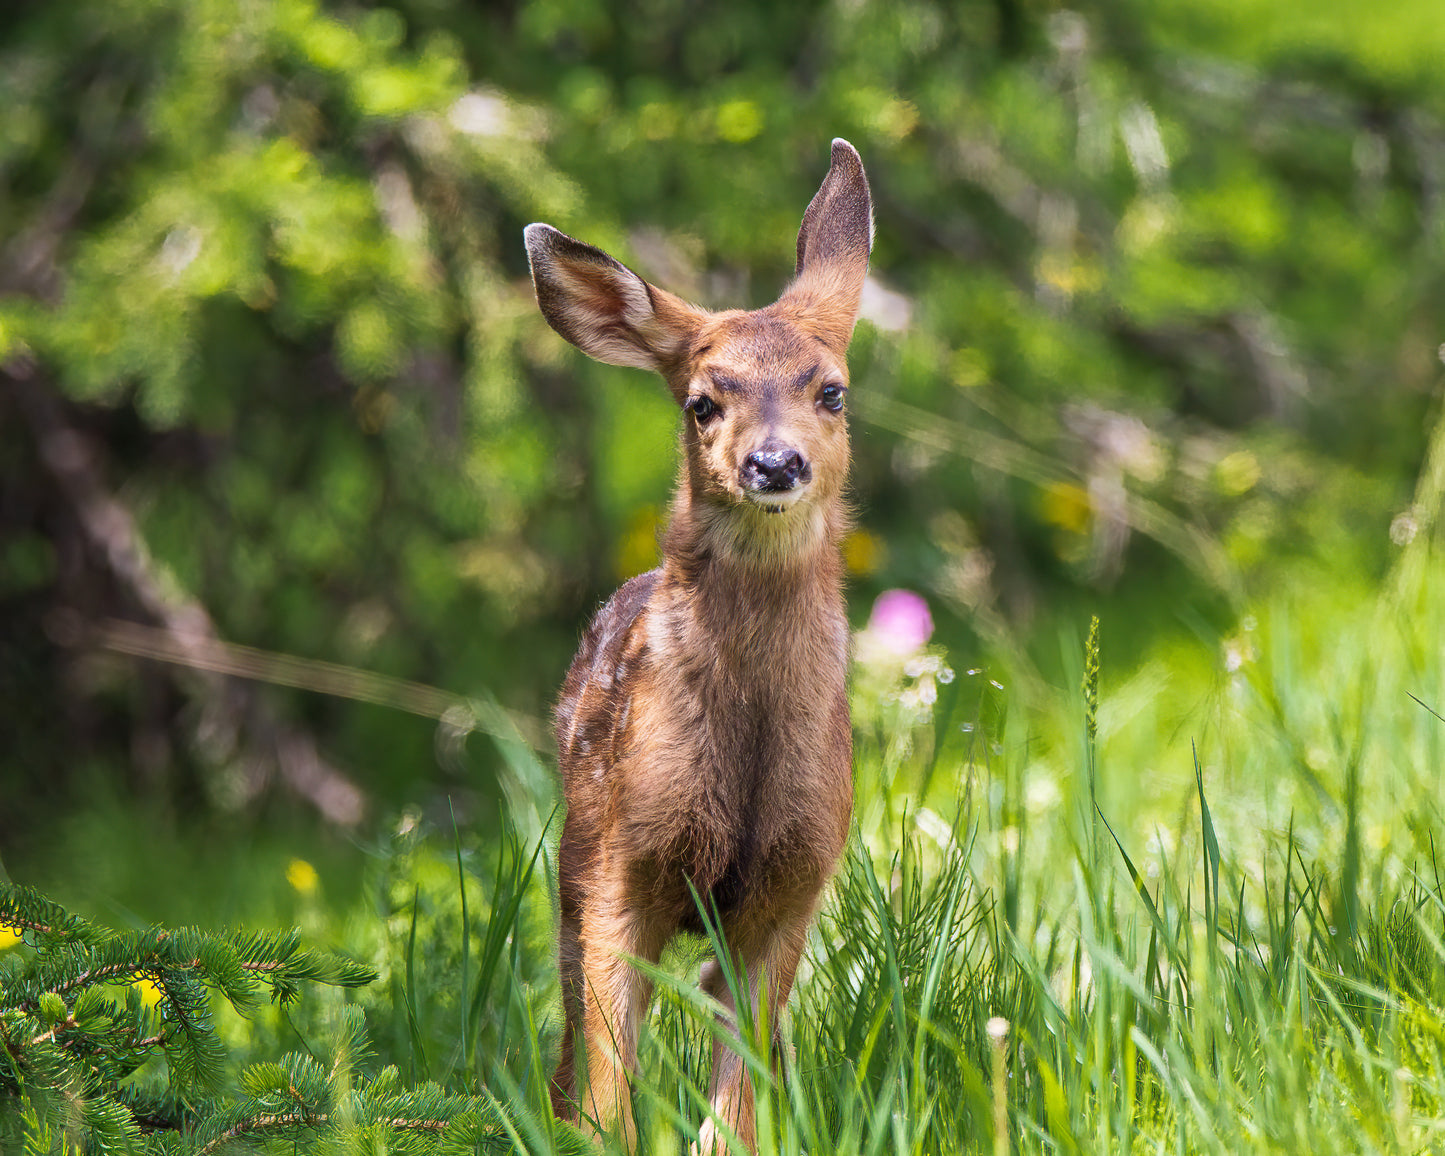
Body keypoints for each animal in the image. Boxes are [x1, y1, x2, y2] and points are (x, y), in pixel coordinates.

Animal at [523, 138, 871, 1153]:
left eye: (830, 390)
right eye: (701, 402)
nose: (774, 463)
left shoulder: (792, 879)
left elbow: (737, 1107)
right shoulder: (623, 863)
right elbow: (606, 1092)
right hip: (575, 849)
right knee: (571, 1043)